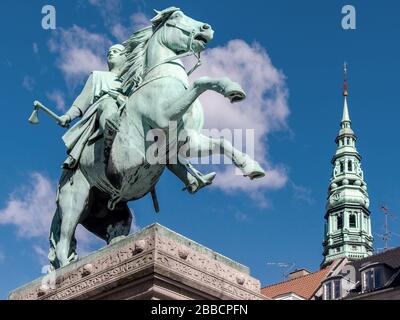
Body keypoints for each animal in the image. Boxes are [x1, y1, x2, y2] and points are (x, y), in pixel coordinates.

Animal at [49, 6, 266, 268]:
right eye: (175, 17)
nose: (207, 28)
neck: (162, 78)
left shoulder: (187, 142)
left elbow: (222, 142)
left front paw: (251, 166)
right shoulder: (165, 116)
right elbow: (201, 81)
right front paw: (231, 88)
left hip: (115, 213)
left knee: (112, 234)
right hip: (75, 201)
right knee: (63, 244)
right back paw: (68, 268)